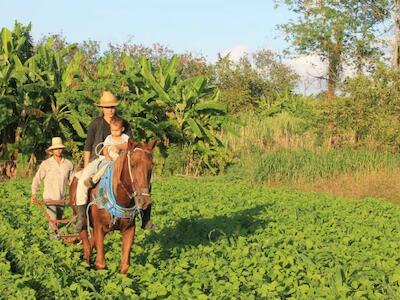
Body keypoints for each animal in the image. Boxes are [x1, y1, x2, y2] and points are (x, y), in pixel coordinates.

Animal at [69, 139, 156, 274]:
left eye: (151, 166)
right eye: (133, 165)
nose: (144, 201)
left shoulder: (129, 229)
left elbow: (125, 266)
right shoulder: (99, 228)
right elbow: (101, 264)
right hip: (81, 221)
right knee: (87, 247)